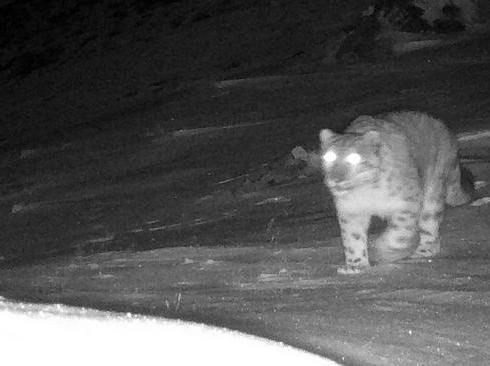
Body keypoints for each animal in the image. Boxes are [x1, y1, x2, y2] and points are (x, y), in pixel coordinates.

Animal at [318, 111, 470, 274]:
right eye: (329, 156)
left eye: (354, 158)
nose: (336, 179)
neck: (366, 192)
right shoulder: (351, 211)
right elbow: (353, 238)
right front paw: (356, 266)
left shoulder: (406, 205)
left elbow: (399, 234)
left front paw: (382, 251)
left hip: (433, 192)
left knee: (429, 224)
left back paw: (423, 251)